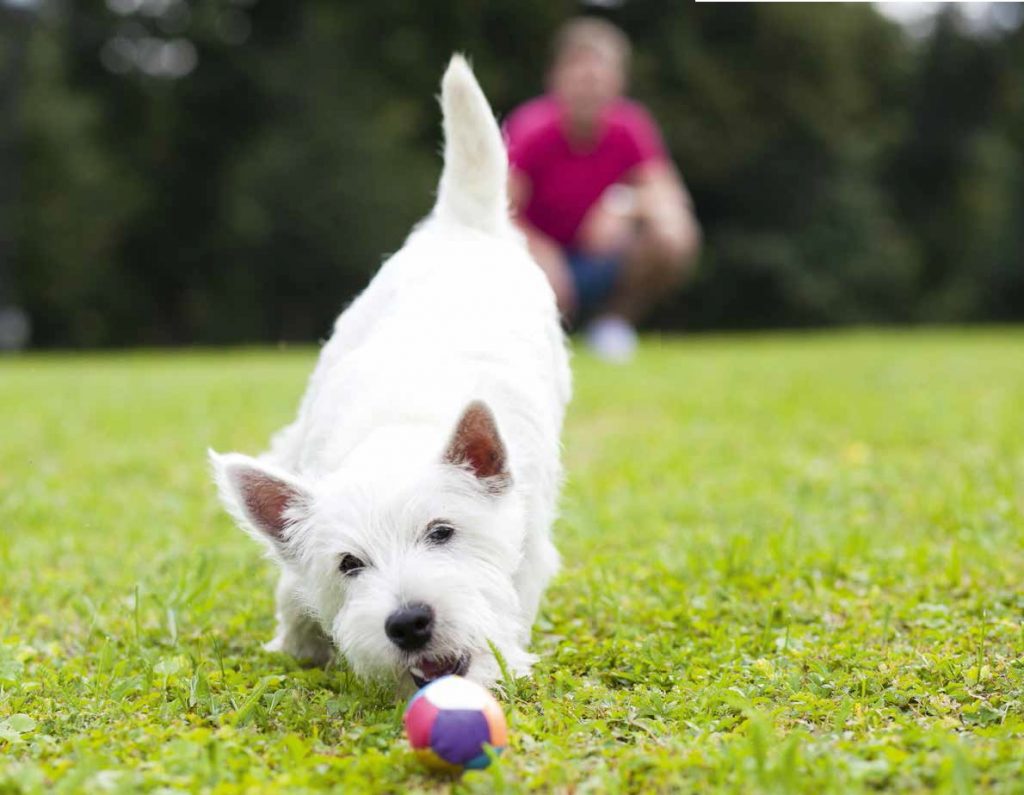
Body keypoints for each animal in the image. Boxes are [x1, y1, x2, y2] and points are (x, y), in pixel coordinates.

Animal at [210, 55, 573, 688]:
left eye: (442, 532)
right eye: (349, 563)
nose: (408, 623)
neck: (398, 430)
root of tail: (462, 225)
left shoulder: (530, 536)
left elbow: (516, 592)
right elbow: (293, 586)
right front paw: (298, 641)